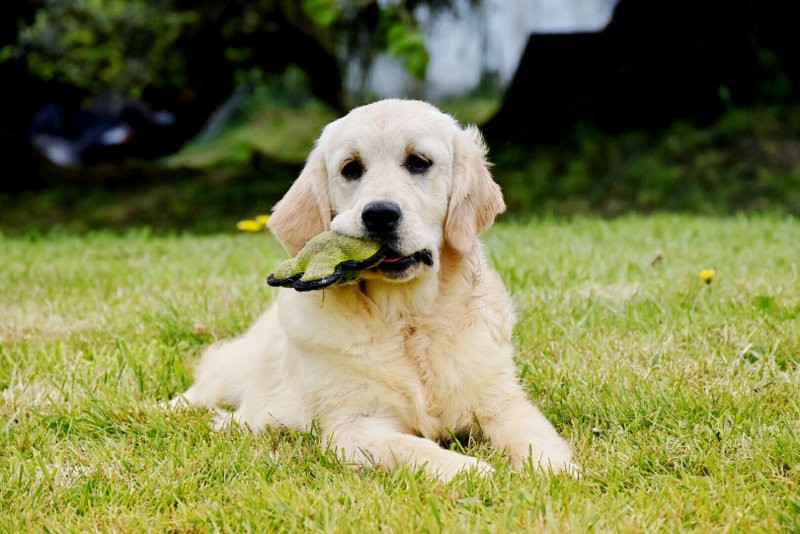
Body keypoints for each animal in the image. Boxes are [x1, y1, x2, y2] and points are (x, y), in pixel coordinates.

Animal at [173, 99, 576, 482]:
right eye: (351, 168)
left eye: (419, 162)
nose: (380, 214)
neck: (407, 319)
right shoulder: (355, 426)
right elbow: (415, 448)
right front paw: (475, 471)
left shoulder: (501, 402)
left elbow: (533, 434)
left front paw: (552, 471)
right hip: (233, 369)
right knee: (196, 393)